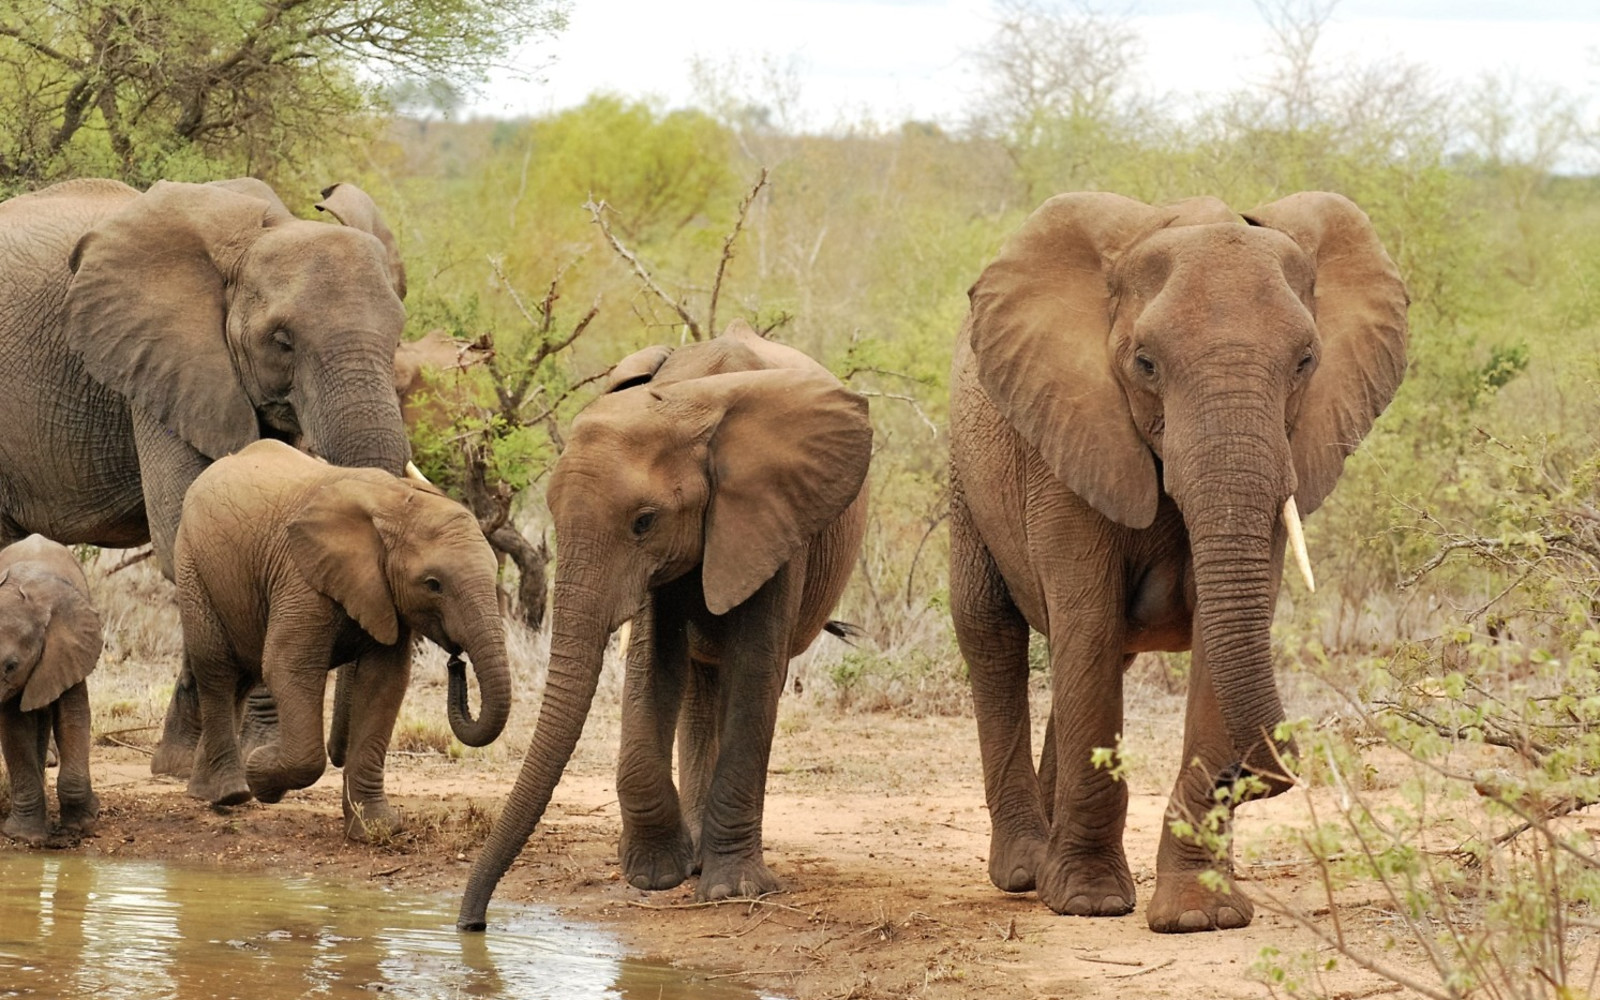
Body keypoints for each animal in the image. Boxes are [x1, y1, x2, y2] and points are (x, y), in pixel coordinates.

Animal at [0, 176, 414, 777]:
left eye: (398, 335)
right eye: (282, 340)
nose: (339, 755)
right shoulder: (158, 364)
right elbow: (188, 534)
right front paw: (205, 763)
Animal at [0, 535, 104, 845]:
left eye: (11, 666)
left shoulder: (70, 648)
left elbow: (73, 718)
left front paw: (83, 825)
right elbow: (14, 728)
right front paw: (26, 837)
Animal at [174, 439, 512, 840]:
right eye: (433, 585)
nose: (456, 663)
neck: (393, 505)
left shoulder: (383, 594)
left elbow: (384, 683)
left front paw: (375, 830)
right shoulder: (300, 577)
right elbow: (289, 666)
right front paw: (263, 776)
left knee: (241, 678)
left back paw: (207, 791)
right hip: (191, 564)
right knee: (217, 670)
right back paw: (230, 794)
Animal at [456, 321, 873, 930]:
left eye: (644, 522)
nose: (473, 924)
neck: (692, 404)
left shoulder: (772, 518)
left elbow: (755, 671)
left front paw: (733, 891)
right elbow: (652, 665)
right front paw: (657, 876)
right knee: (699, 682)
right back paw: (696, 859)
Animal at [948, 191, 1407, 933]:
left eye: (1306, 360)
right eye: (1145, 364)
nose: (1267, 773)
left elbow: (1211, 641)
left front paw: (1200, 915)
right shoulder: (1073, 433)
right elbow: (1088, 623)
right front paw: (1089, 903)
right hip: (967, 476)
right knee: (992, 633)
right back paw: (1023, 872)